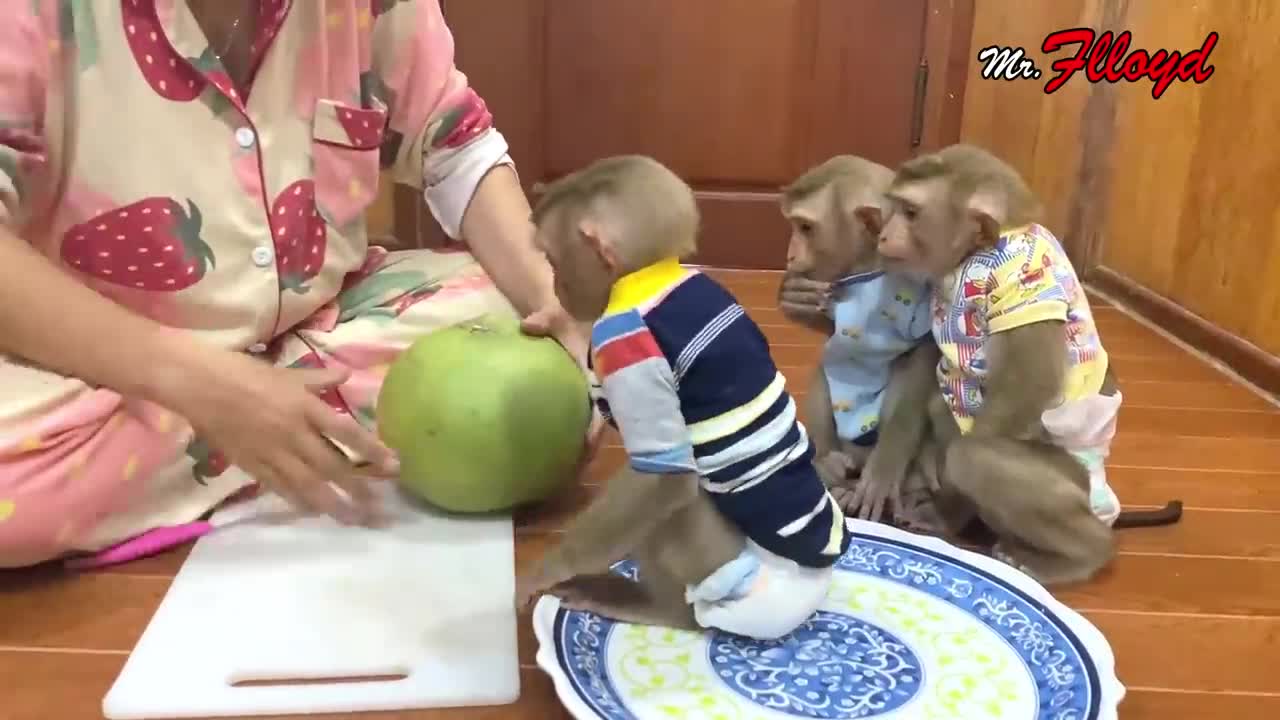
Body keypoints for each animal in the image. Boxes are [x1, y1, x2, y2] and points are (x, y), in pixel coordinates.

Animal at [514, 154, 855, 635]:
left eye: (551, 256)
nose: (557, 286)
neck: (652, 274)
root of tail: (812, 595)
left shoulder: (625, 343)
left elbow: (662, 477)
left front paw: (548, 569)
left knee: (671, 498)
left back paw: (655, 606)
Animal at [849, 144, 1177, 584]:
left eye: (911, 212)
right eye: (896, 207)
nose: (884, 234)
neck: (976, 253)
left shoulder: (1021, 279)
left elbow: (1027, 389)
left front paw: (949, 501)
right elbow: (930, 361)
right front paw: (892, 463)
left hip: (1074, 481)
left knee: (974, 456)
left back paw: (1082, 553)